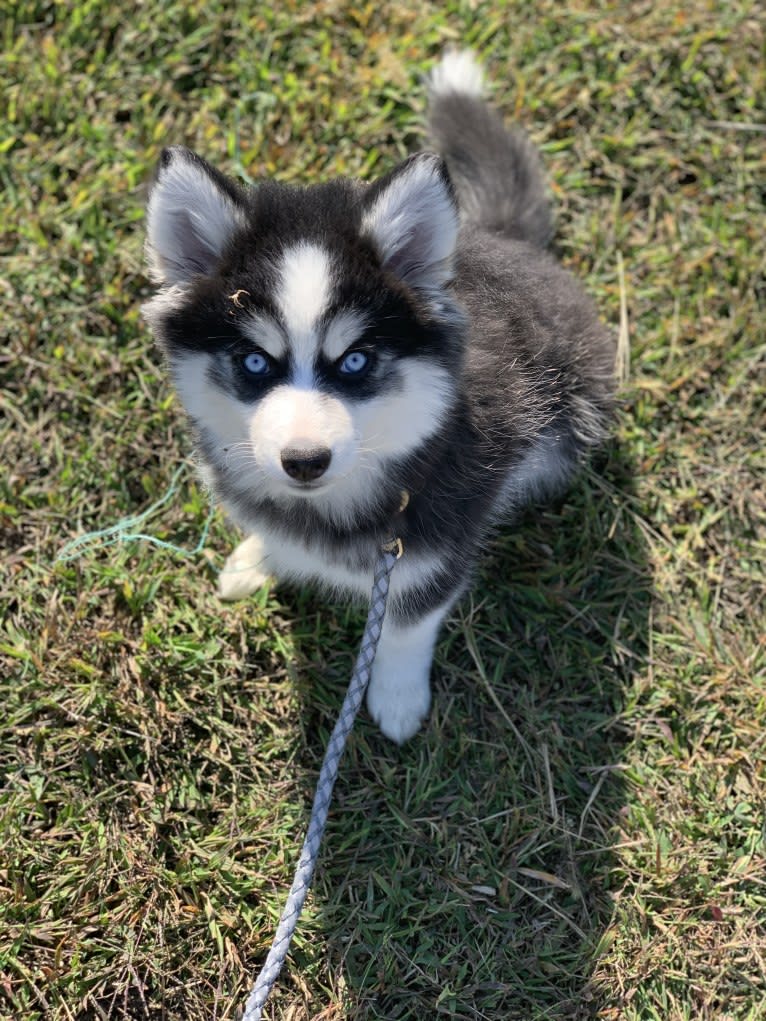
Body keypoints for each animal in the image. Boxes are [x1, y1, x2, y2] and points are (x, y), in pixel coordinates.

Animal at [140, 49, 616, 743]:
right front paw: (262, 555)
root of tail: (506, 241)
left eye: (356, 360)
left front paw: (395, 696)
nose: (304, 462)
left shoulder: (432, 552)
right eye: (255, 361)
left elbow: (405, 628)